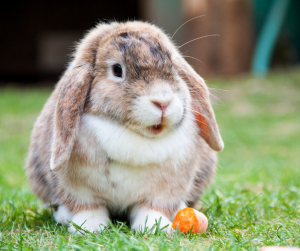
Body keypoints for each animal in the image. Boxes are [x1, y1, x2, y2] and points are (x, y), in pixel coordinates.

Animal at [26, 20, 223, 234]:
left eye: (172, 65)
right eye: (117, 70)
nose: (163, 102)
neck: (132, 134)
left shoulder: (163, 192)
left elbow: (151, 209)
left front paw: (154, 227)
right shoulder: (79, 191)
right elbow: (89, 208)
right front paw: (89, 228)